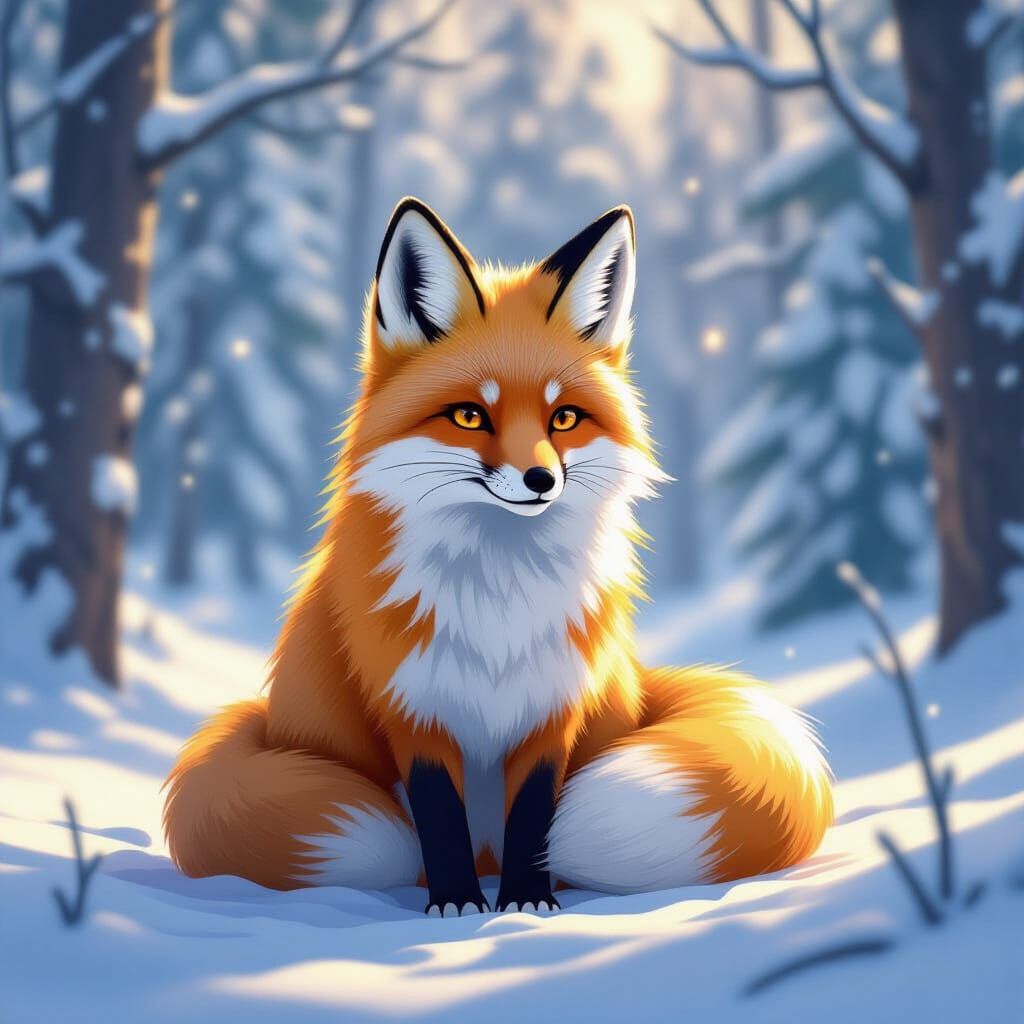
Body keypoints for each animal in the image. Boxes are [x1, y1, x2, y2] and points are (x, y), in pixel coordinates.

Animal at [163, 197, 833, 916]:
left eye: (563, 419)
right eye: (469, 416)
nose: (541, 480)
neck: (499, 598)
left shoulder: (553, 707)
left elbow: (535, 814)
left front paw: (528, 901)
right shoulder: (412, 706)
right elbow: (438, 816)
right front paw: (457, 904)